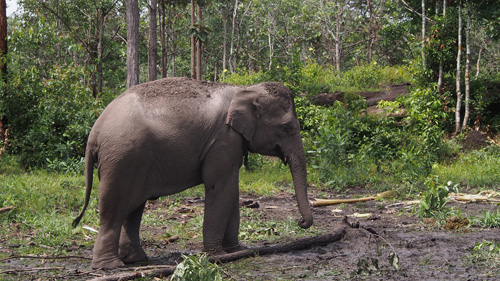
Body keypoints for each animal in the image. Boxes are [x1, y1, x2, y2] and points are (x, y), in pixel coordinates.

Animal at [71, 77, 312, 270]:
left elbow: (232, 191)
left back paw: (136, 259)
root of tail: (95, 131)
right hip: (122, 158)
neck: (245, 89)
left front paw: (236, 250)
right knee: (114, 210)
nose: (301, 221)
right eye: (286, 128)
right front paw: (217, 255)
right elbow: (219, 187)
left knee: (133, 209)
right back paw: (110, 266)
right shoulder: (223, 140)